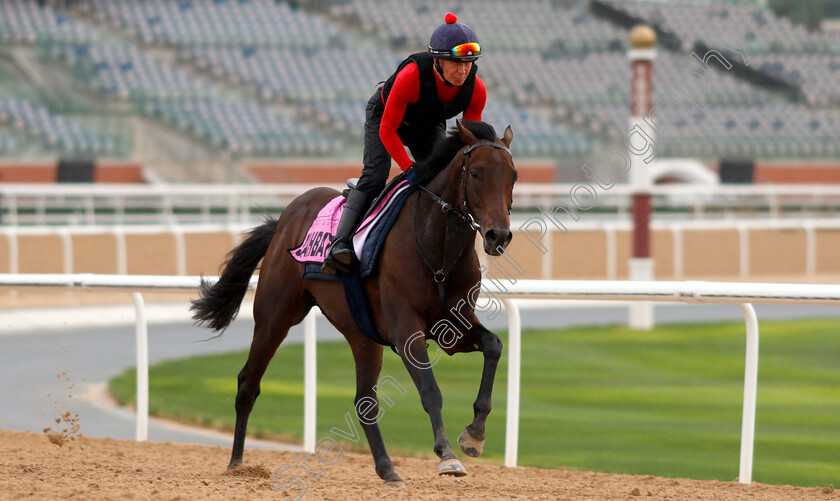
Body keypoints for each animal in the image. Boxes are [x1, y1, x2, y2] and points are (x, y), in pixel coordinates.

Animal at [191, 119, 520, 486]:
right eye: (475, 173)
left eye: (513, 175)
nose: (498, 235)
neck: (439, 253)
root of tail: (284, 220)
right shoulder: (406, 330)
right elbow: (430, 390)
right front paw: (447, 455)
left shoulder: (450, 328)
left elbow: (494, 346)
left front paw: (474, 435)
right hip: (274, 316)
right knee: (248, 383)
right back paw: (236, 464)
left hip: (362, 335)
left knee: (365, 402)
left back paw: (388, 468)